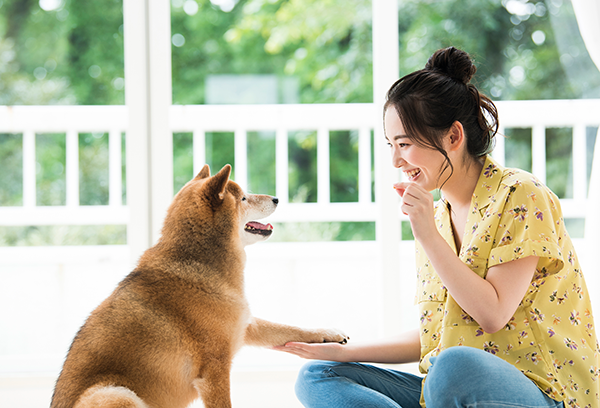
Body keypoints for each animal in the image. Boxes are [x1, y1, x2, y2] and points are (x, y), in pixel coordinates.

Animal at [54, 165, 352, 408]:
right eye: (244, 198)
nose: (277, 198)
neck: (201, 266)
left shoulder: (245, 326)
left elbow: (290, 328)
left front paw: (328, 334)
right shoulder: (215, 371)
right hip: (117, 393)